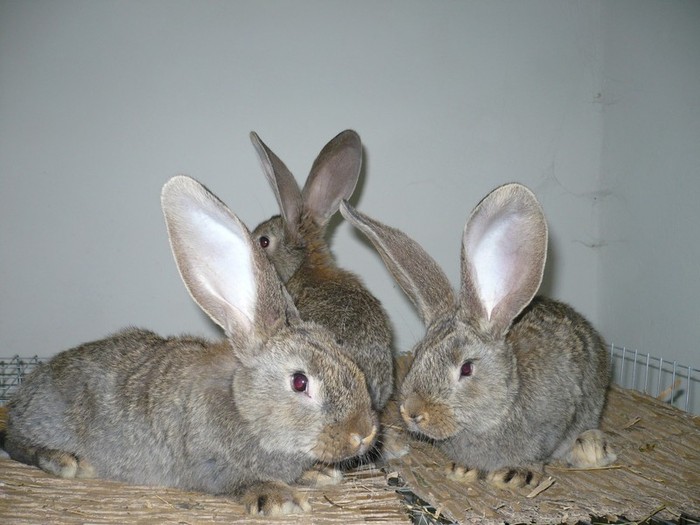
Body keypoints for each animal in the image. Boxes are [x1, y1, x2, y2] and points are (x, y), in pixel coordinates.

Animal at [4, 174, 378, 512]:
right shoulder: (209, 464)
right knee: (12, 440)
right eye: (300, 382)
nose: (363, 433)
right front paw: (280, 498)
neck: (244, 406)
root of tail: (24, 393)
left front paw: (319, 473)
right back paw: (66, 461)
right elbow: (238, 481)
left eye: (345, 356)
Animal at [340, 182, 616, 490]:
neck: (502, 405)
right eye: (418, 356)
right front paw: (463, 469)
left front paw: (515, 474)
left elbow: (536, 455)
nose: (412, 412)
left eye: (467, 369)